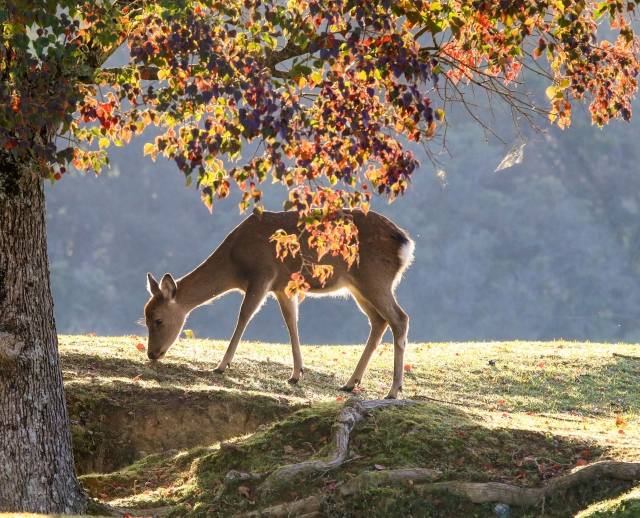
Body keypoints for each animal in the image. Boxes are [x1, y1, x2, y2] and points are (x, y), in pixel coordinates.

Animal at [144, 209, 416, 400]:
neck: (234, 264)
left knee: (399, 318)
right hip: (358, 285)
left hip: (374, 277)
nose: (152, 354)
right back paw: (351, 383)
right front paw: (296, 374)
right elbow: (291, 321)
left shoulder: (262, 273)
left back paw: (393, 390)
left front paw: (221, 366)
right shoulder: (283, 286)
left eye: (158, 320)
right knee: (379, 320)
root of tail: (405, 243)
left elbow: (244, 315)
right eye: (144, 318)